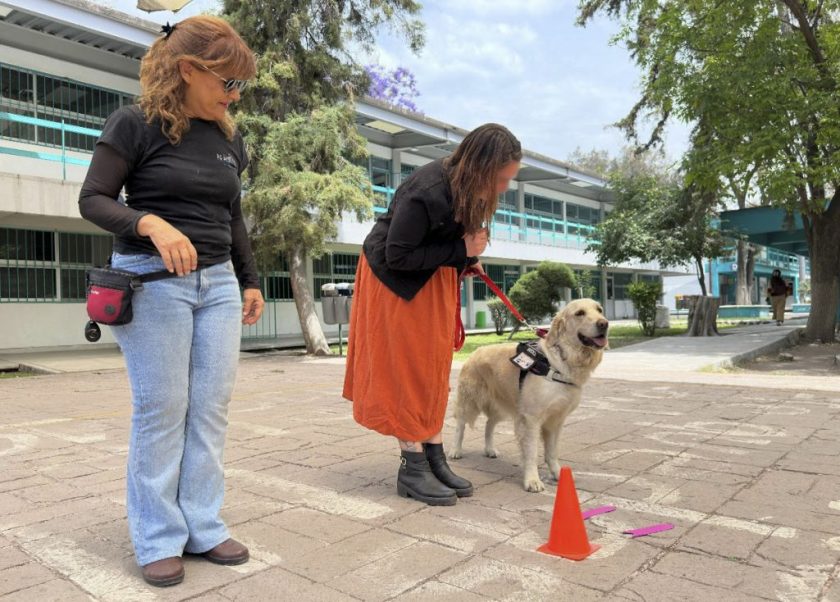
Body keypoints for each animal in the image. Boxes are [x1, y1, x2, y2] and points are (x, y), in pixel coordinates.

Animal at [449, 298, 608, 492]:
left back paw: (490, 449)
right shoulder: (531, 418)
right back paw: (455, 450)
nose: (604, 324)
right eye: (580, 313)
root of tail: (475, 351)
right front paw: (532, 480)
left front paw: (557, 473)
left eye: (600, 310)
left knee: (489, 424)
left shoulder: (556, 419)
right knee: (460, 425)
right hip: (470, 401)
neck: (560, 363)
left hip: (503, 404)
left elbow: (552, 452)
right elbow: (531, 452)